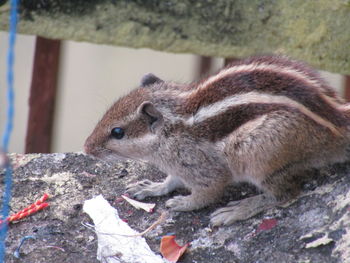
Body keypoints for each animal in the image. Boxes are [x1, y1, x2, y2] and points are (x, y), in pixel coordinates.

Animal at [84, 55, 350, 227]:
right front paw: (152, 187)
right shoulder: (179, 166)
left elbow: (209, 191)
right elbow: (171, 180)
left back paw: (240, 208)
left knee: (284, 193)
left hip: (257, 154)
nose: (87, 148)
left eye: (118, 132)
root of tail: (337, 123)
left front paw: (185, 202)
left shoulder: (200, 165)